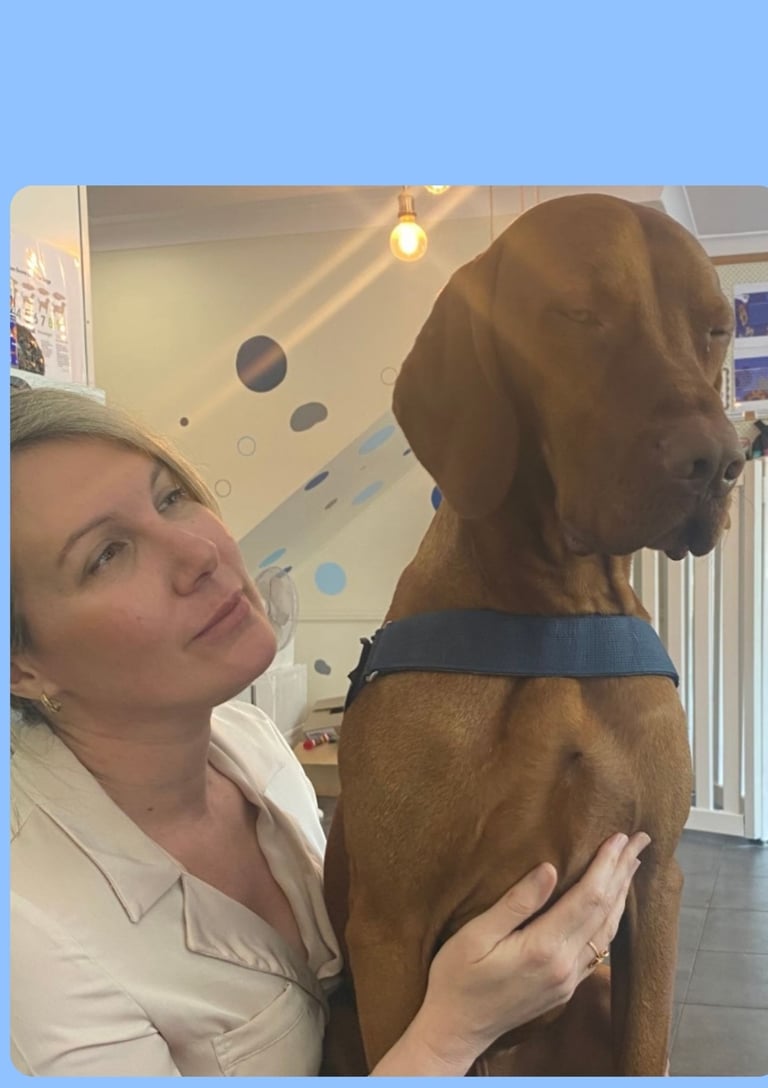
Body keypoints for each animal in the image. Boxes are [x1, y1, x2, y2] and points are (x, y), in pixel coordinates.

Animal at [322, 193, 744, 1076]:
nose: (723, 460)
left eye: (717, 328)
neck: (559, 614)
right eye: (579, 313)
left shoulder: (655, 880)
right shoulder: (390, 925)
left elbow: (647, 1042)